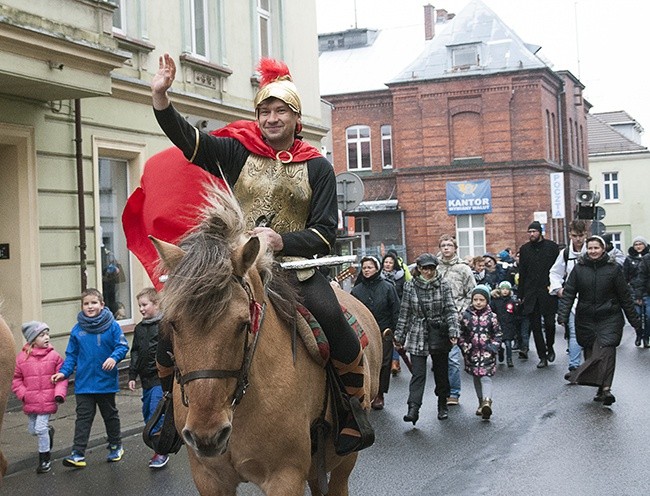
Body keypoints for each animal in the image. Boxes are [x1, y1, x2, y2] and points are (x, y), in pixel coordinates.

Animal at [153, 188, 380, 494]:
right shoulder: (208, 477)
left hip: (344, 460)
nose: (207, 435)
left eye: (243, 324)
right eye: (174, 324)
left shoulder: (285, 476)